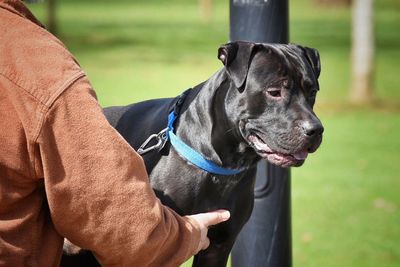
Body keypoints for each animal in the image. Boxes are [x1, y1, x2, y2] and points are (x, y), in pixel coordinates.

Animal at [63, 42, 324, 267]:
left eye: (312, 92)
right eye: (274, 91)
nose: (316, 130)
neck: (223, 163)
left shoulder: (219, 246)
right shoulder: (157, 244)